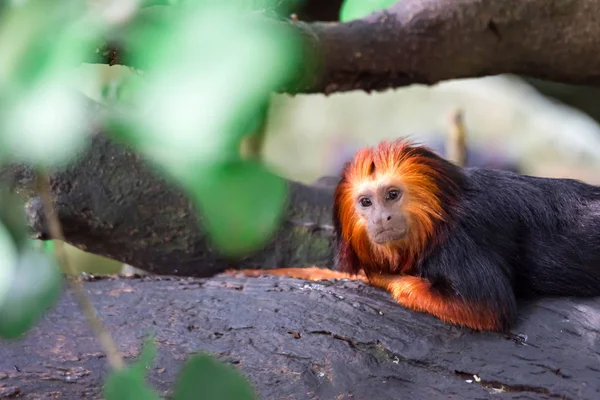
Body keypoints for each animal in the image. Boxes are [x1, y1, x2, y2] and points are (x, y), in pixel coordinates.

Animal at [226, 139, 600, 332]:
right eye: (366, 202)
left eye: (392, 195)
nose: (382, 218)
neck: (439, 213)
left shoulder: (459, 243)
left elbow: (490, 308)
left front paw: (386, 278)